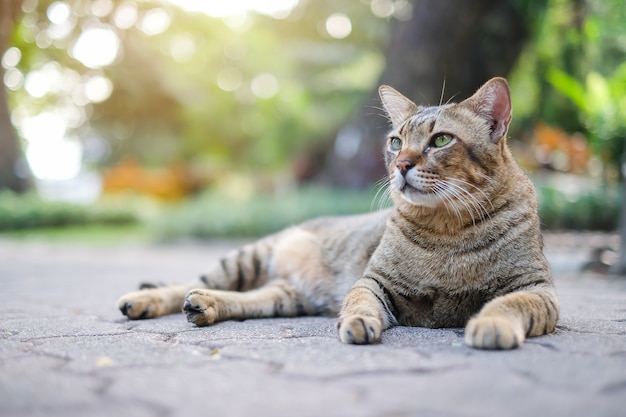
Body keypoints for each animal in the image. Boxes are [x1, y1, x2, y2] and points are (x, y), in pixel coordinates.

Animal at [117, 77, 556, 348]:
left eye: (441, 140)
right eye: (396, 142)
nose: (401, 165)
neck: (448, 228)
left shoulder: (536, 289)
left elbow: (506, 305)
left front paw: (492, 324)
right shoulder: (374, 282)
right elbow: (359, 302)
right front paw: (358, 321)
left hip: (288, 295)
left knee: (253, 297)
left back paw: (206, 305)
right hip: (249, 256)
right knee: (190, 282)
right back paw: (146, 299)